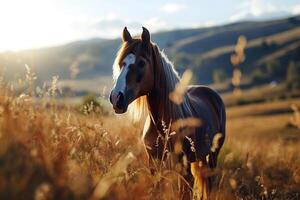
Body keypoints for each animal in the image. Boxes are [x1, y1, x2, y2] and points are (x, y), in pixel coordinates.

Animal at [109, 27, 225, 200]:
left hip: (213, 155)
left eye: (141, 63)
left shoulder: (184, 169)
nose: (116, 98)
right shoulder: (155, 166)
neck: (163, 126)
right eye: (121, 64)